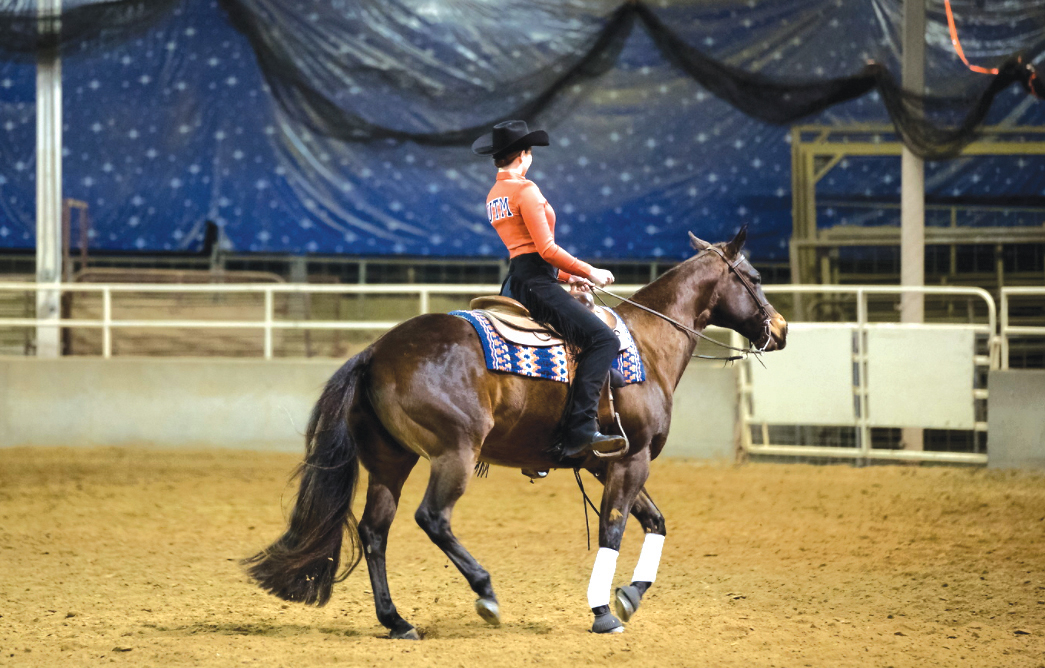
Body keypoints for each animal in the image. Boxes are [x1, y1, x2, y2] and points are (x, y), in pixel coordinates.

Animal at [242, 228, 785, 635]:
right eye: (756, 277)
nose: (779, 328)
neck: (647, 345)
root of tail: (375, 351)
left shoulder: (604, 461)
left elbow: (656, 522)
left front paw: (629, 594)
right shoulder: (632, 459)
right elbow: (613, 529)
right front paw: (603, 611)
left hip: (391, 461)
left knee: (376, 531)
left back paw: (397, 621)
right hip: (454, 453)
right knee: (432, 518)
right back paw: (485, 593)